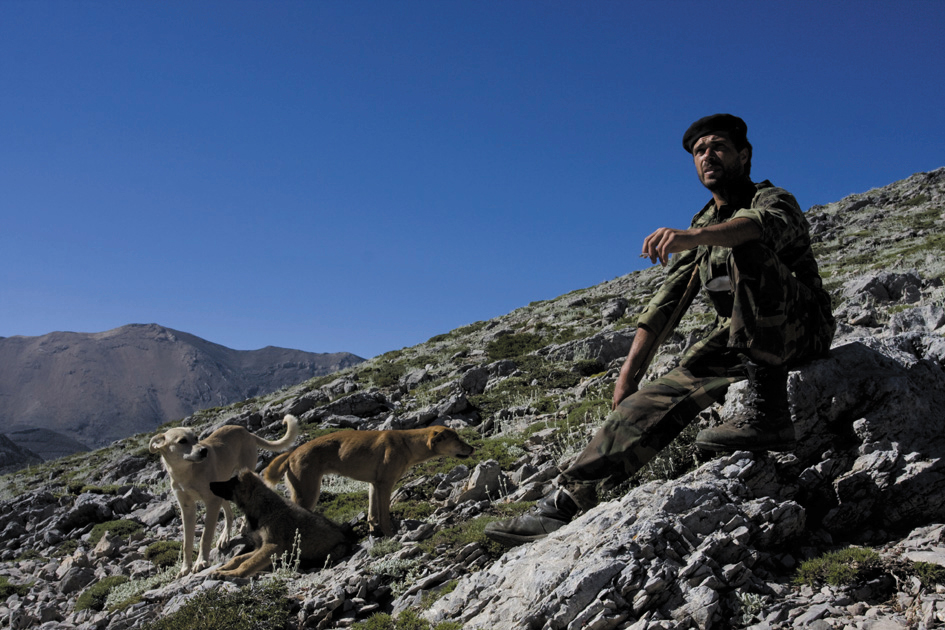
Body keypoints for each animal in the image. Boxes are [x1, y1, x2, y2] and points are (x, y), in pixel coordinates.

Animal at [148, 414, 298, 576]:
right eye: (182, 441)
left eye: (196, 438)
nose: (204, 451)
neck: (186, 473)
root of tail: (247, 432)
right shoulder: (187, 507)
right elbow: (187, 542)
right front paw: (185, 568)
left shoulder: (211, 502)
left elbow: (205, 536)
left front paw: (201, 562)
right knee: (229, 513)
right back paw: (224, 537)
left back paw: (244, 526)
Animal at [208, 472, 352, 580]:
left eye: (229, 482)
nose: (209, 483)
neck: (262, 506)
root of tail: (346, 537)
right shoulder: (260, 547)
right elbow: (237, 559)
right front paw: (222, 569)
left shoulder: (272, 546)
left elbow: (246, 564)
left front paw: (229, 574)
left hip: (336, 550)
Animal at [264, 428, 472, 536]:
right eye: (457, 439)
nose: (472, 448)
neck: (407, 444)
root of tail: (290, 454)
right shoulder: (385, 484)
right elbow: (384, 514)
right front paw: (390, 535)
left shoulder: (374, 484)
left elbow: (372, 513)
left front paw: (374, 532)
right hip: (307, 493)